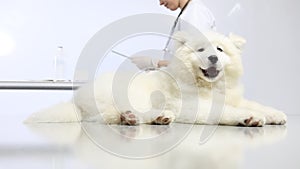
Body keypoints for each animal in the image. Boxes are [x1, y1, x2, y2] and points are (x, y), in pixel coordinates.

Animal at [25, 31, 286, 127]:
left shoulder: (233, 96)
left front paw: (275, 114)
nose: (212, 57)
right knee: (107, 117)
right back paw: (143, 117)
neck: (208, 86)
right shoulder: (190, 105)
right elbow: (226, 111)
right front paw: (250, 118)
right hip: (130, 94)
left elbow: (254, 104)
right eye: (201, 50)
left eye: (220, 50)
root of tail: (76, 100)